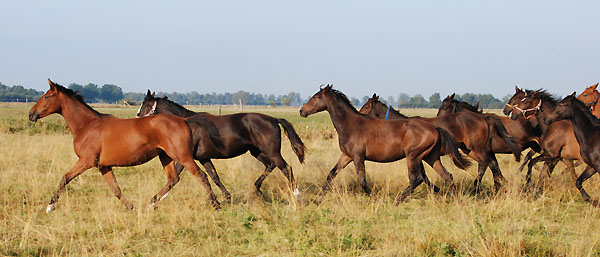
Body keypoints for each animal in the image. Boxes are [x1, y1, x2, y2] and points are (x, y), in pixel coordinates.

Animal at [28, 79, 220, 211]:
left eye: (47, 96)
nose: (31, 114)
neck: (87, 125)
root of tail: (184, 121)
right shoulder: (103, 166)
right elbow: (116, 190)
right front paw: (132, 208)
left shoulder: (86, 161)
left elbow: (65, 178)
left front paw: (50, 206)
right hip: (165, 157)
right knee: (173, 179)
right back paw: (151, 203)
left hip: (183, 156)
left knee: (202, 176)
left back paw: (216, 204)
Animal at [138, 91, 308, 201]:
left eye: (145, 106)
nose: (137, 118)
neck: (188, 125)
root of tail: (273, 119)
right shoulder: (203, 158)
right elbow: (214, 176)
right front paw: (227, 197)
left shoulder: (185, 157)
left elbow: (176, 178)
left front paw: (155, 199)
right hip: (257, 152)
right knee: (270, 166)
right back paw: (257, 189)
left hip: (272, 152)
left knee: (286, 168)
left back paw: (297, 196)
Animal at [298, 85, 472, 203]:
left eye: (316, 97)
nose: (301, 111)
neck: (351, 125)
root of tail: (435, 128)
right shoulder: (347, 156)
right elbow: (331, 173)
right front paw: (318, 199)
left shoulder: (358, 157)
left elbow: (362, 181)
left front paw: (376, 199)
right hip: (430, 157)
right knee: (447, 176)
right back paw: (457, 200)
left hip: (413, 156)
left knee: (416, 179)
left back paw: (397, 201)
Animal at [358, 93, 524, 190]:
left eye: (366, 106)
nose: (359, 115)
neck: (403, 126)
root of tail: (484, 118)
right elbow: (424, 177)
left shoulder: (417, 156)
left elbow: (422, 177)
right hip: (470, 150)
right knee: (490, 164)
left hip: (477, 148)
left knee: (488, 165)